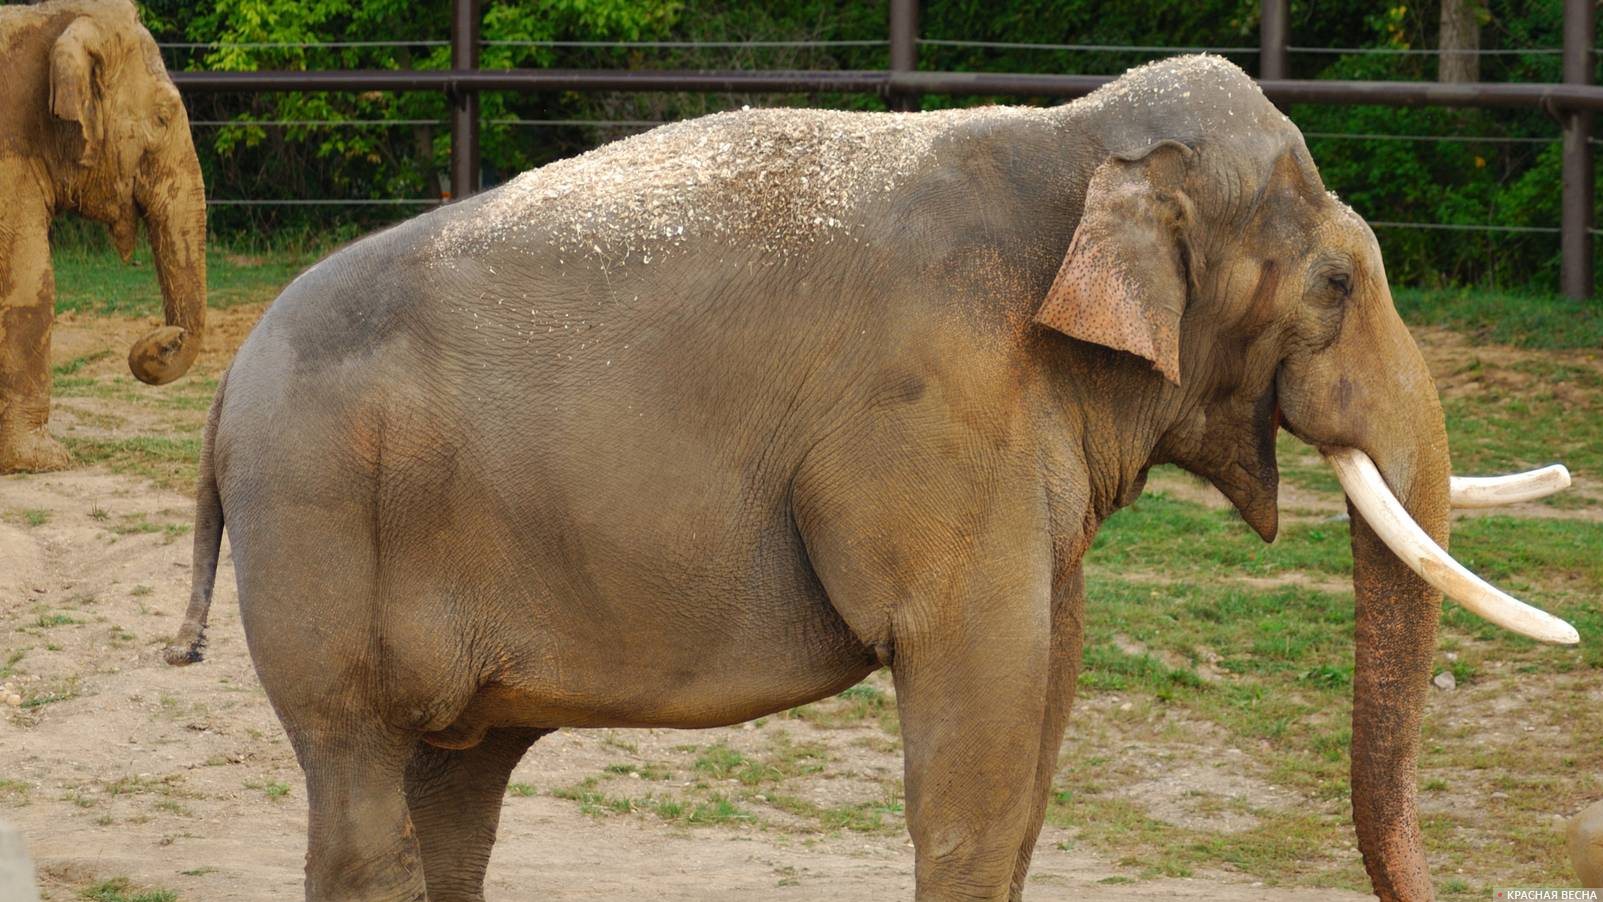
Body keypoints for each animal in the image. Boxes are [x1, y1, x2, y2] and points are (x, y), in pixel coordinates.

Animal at [165, 56, 1577, 902]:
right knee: (359, 784)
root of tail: (223, 393)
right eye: (1335, 284)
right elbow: (977, 716)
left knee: (454, 791)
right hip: (319, 530)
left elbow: (1038, 711)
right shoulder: (937, 412)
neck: (1070, 136)